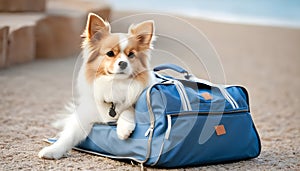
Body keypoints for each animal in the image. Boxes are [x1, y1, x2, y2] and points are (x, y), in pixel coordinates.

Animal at [38, 13, 156, 159]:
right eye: (110, 53)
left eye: (131, 55)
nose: (123, 63)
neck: (114, 84)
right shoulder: (84, 116)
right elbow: (68, 136)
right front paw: (53, 150)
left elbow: (129, 109)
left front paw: (124, 128)